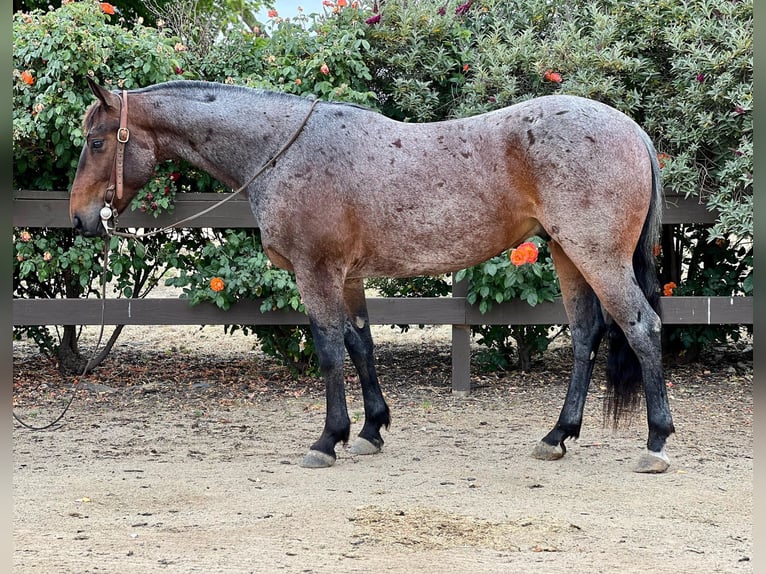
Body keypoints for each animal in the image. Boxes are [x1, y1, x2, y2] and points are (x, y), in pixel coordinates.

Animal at [69, 79, 676, 474]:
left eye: (97, 142)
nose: (79, 218)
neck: (285, 151)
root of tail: (632, 130)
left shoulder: (316, 273)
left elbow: (329, 350)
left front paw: (327, 439)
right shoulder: (348, 278)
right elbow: (360, 345)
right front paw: (369, 431)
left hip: (595, 256)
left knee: (641, 327)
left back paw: (656, 442)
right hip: (569, 255)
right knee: (586, 334)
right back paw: (557, 436)